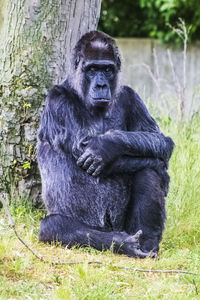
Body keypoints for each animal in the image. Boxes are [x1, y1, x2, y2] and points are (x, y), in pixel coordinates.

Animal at [37, 30, 173, 258]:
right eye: (92, 70)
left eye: (107, 70)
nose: (101, 85)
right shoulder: (58, 100)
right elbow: (82, 148)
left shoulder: (131, 95)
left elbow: (160, 141)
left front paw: (108, 144)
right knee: (53, 226)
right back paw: (122, 243)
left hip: (125, 226)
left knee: (147, 168)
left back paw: (147, 244)